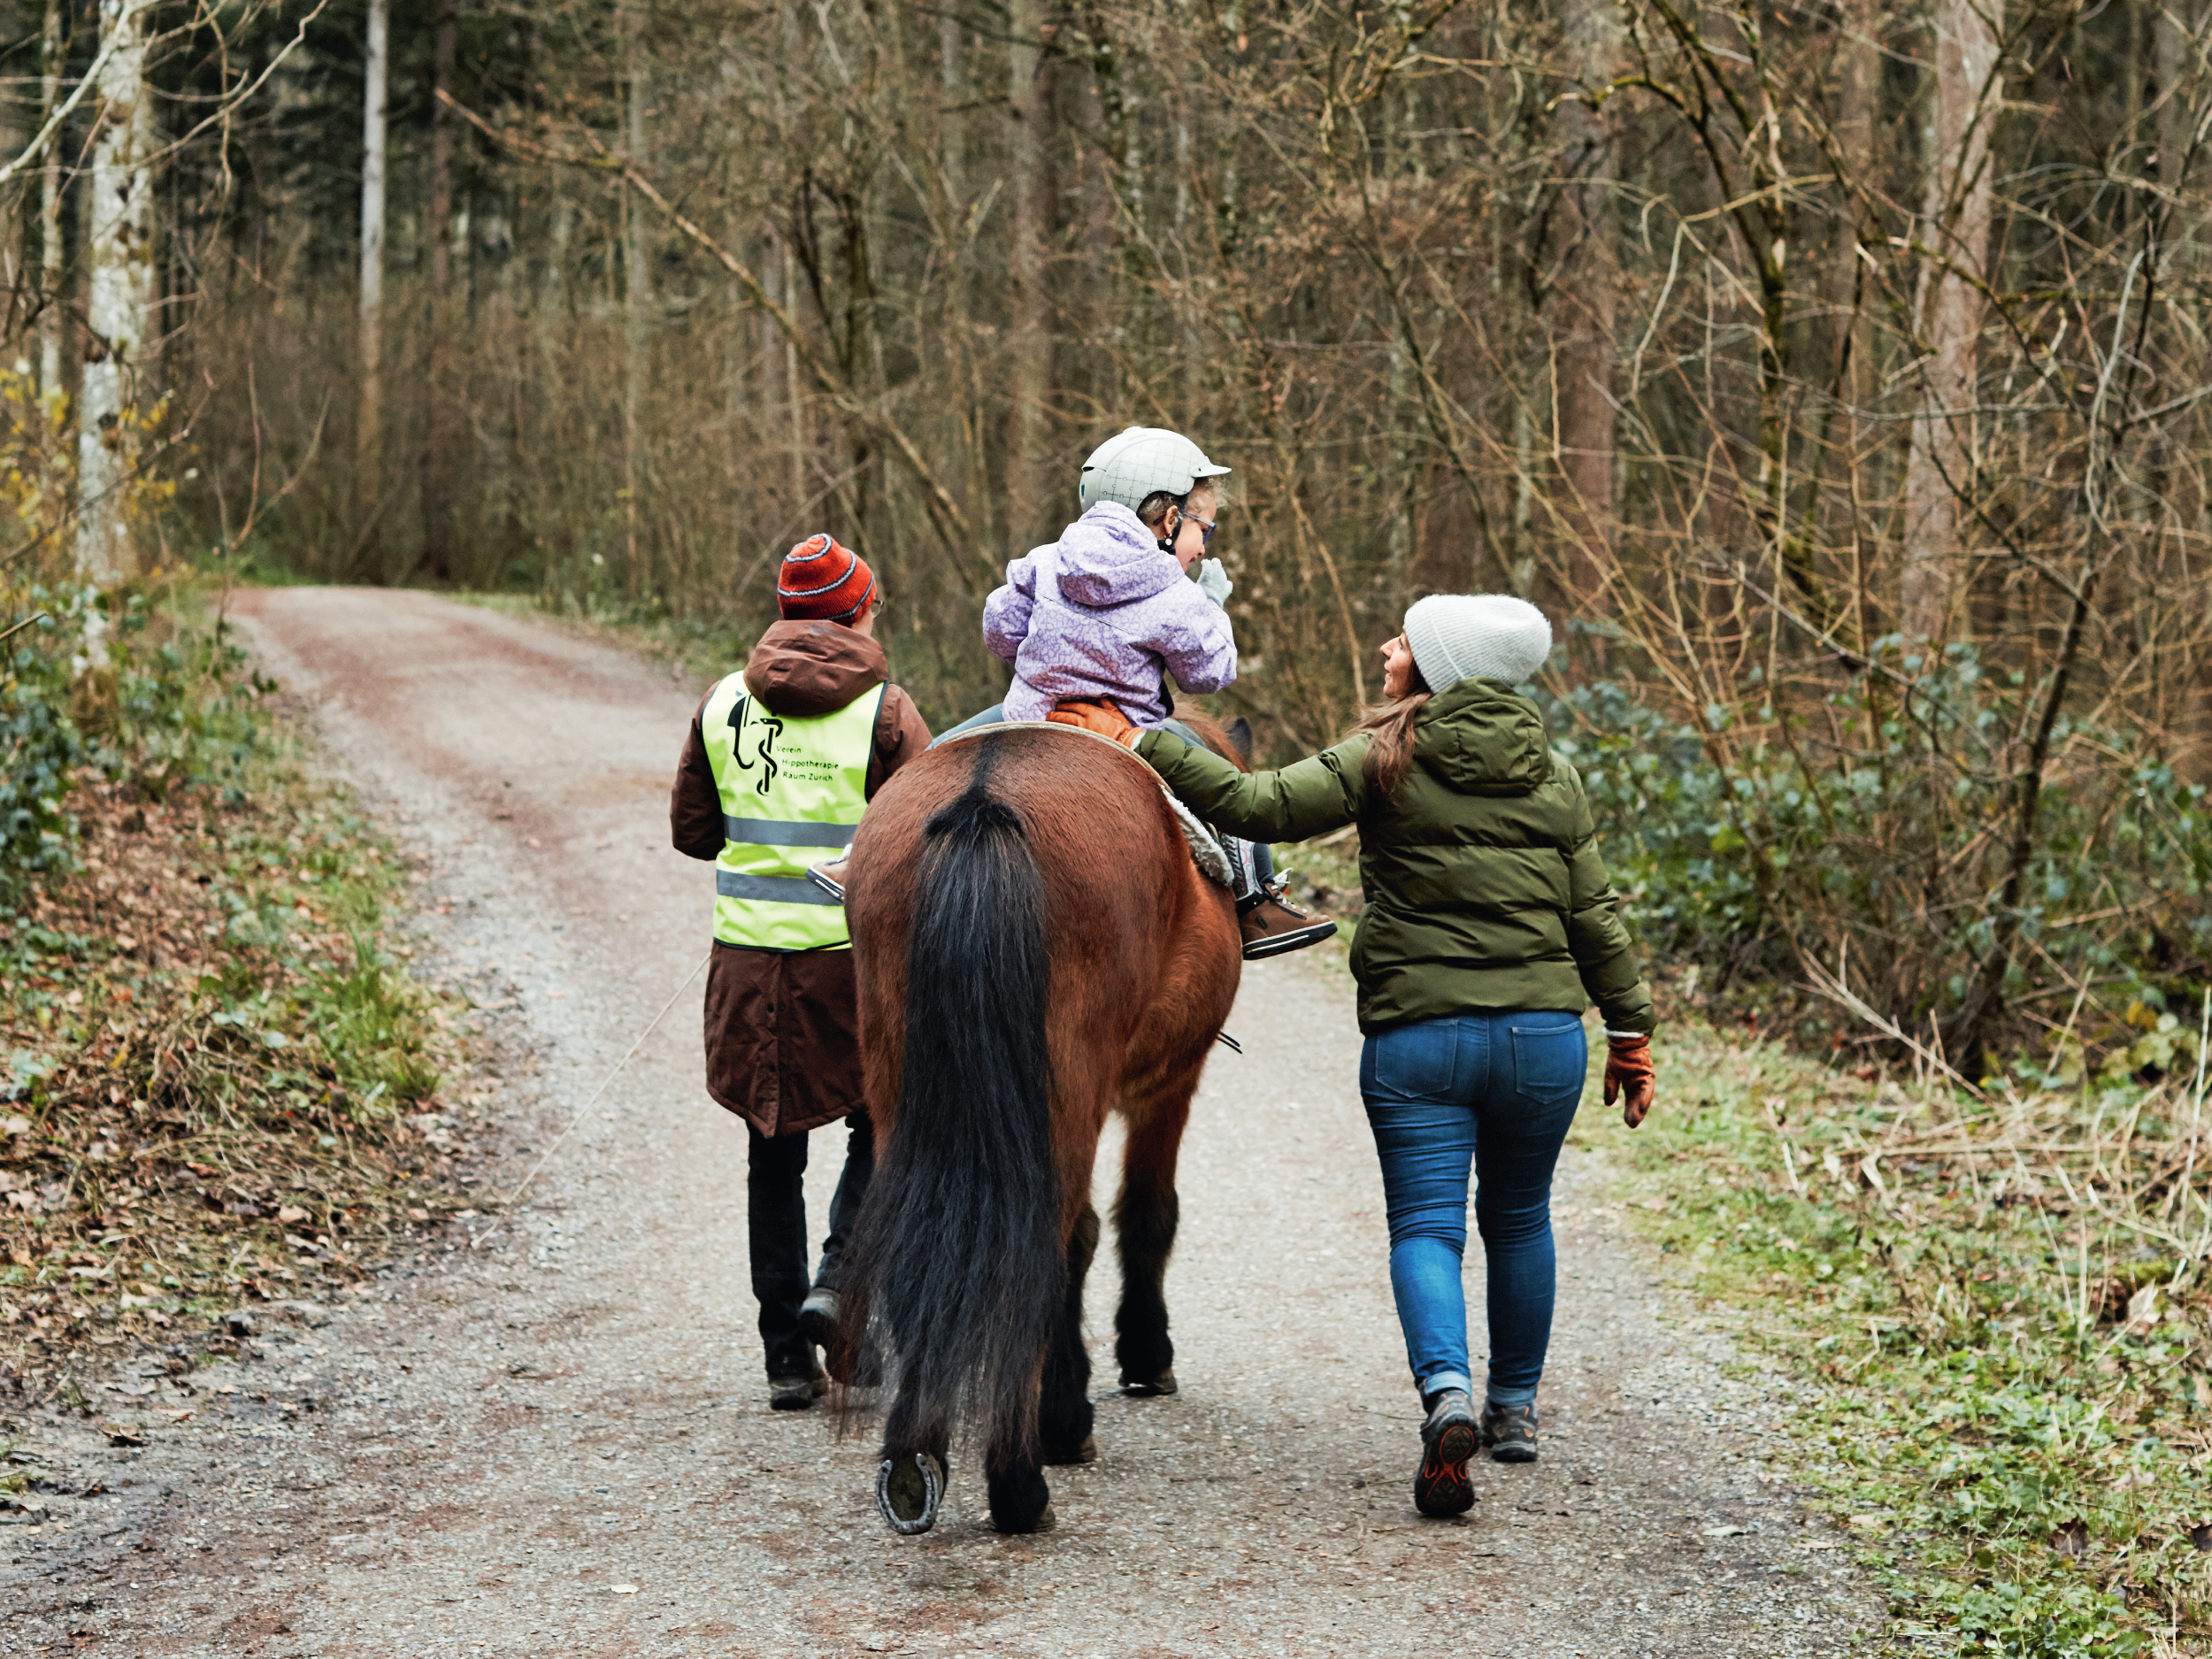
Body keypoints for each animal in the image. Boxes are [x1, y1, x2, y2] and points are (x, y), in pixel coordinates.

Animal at [832, 721, 1248, 1540]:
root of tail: (983, 803)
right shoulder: (1170, 1082)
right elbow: (1143, 1216)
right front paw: (1134, 1363)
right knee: (1045, 1244)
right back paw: (1020, 1481)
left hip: (902, 1084)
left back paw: (913, 1460)